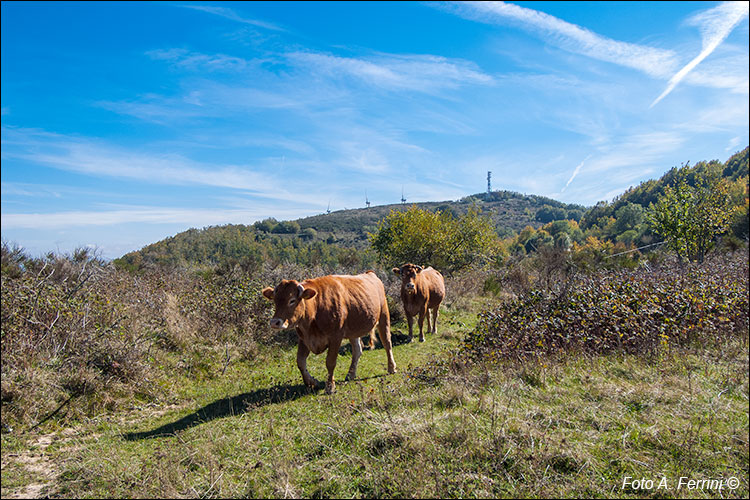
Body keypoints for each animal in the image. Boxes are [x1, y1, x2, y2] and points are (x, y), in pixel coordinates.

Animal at [262, 270, 396, 394]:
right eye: (275, 301)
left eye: (292, 300)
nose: (274, 322)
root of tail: (370, 273)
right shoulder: (304, 338)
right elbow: (300, 362)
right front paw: (312, 382)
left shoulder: (335, 336)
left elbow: (330, 362)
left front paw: (330, 386)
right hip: (354, 329)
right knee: (357, 350)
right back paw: (350, 374)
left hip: (384, 316)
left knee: (387, 343)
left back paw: (391, 367)